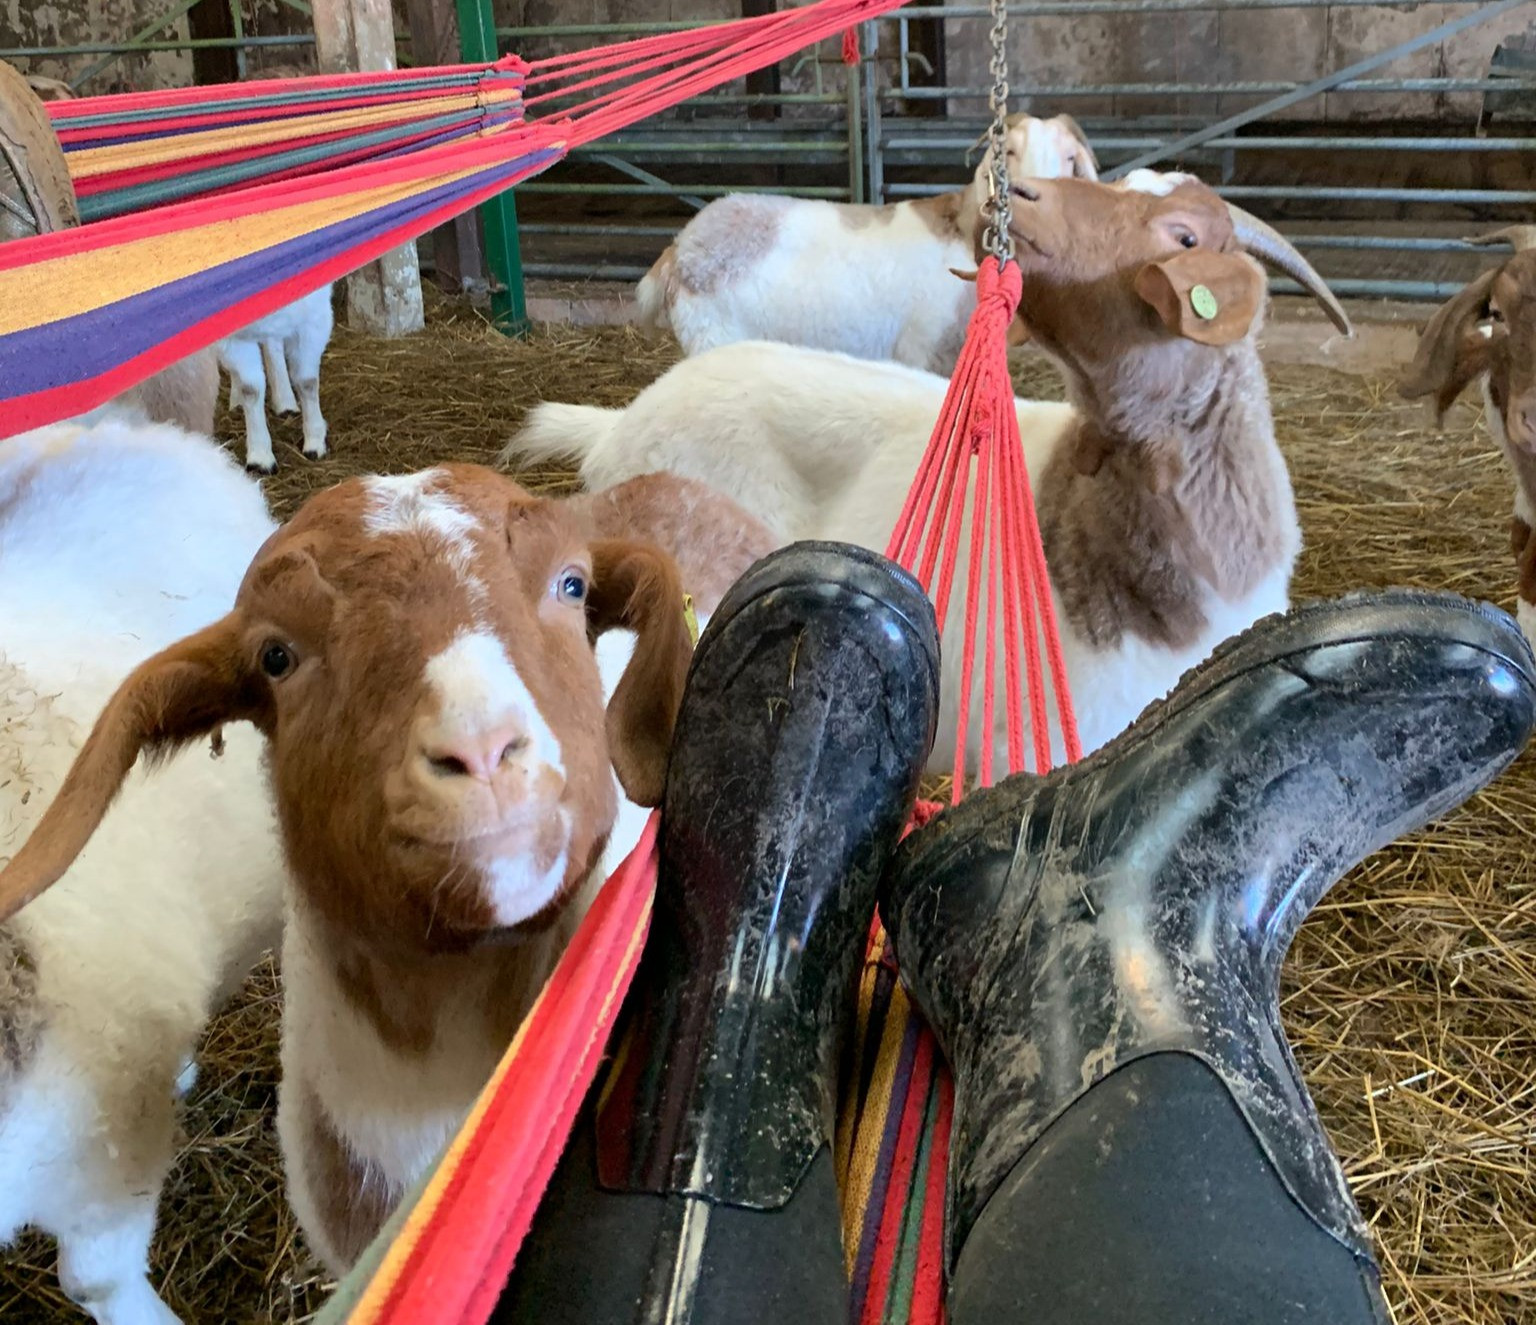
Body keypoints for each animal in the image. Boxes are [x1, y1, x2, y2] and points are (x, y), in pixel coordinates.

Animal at [632, 112, 1099, 375]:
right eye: (1009, 153)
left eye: (1069, 157)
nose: (1033, 197)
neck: (963, 233)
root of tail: (678, 248)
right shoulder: (922, 350)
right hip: (713, 335)